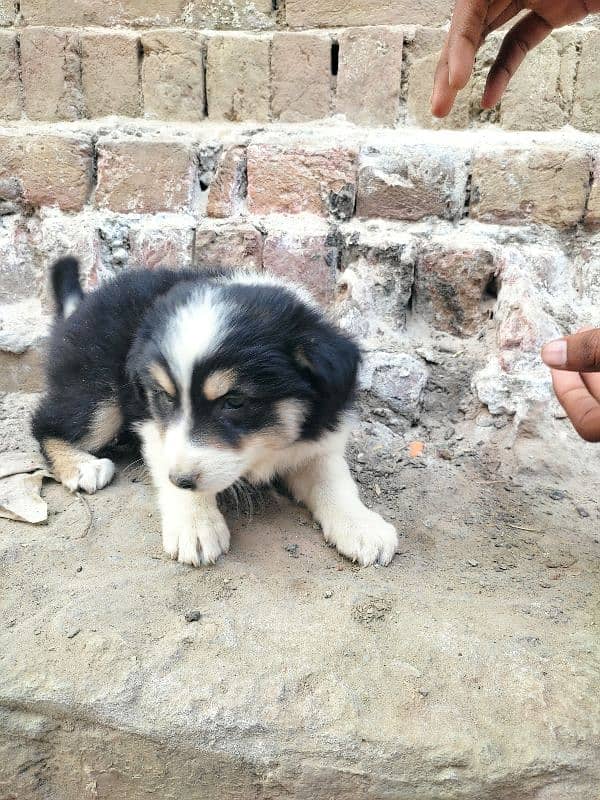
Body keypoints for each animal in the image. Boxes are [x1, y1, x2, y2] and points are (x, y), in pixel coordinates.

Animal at [34, 260, 398, 564]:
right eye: (164, 397)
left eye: (234, 402)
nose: (180, 479)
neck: (267, 446)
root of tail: (82, 304)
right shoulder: (151, 420)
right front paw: (195, 525)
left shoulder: (319, 438)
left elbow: (334, 481)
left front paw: (363, 527)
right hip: (99, 393)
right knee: (44, 422)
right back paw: (82, 465)